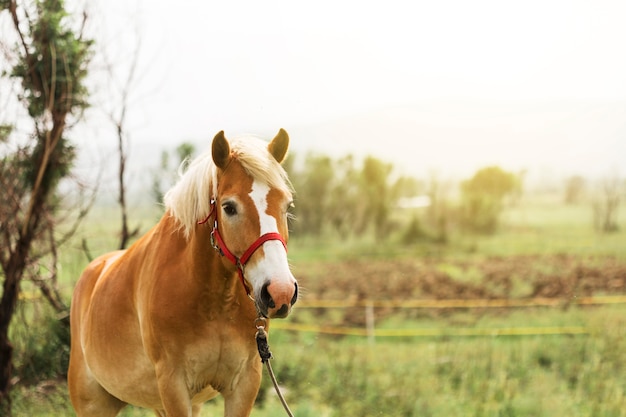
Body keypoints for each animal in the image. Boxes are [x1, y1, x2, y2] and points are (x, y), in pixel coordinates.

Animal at [68, 130, 298, 416]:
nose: (280, 292)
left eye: (287, 205)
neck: (215, 304)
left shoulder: (245, 383)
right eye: (229, 207)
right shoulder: (174, 385)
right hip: (94, 405)